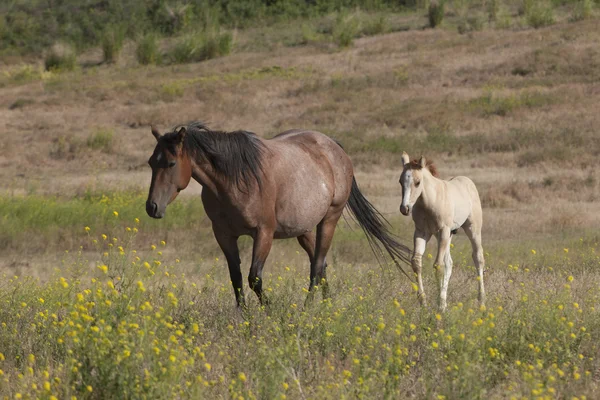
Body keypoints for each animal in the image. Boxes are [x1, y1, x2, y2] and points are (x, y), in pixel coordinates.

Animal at [145, 122, 412, 306]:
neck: (233, 179)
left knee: (317, 266)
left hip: (329, 219)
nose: (152, 207)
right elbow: (236, 279)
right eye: (151, 163)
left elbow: (254, 278)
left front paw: (272, 312)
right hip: (304, 229)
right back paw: (326, 307)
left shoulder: (263, 233)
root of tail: (335, 148)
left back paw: (307, 310)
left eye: (170, 164)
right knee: (321, 263)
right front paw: (245, 321)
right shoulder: (224, 235)